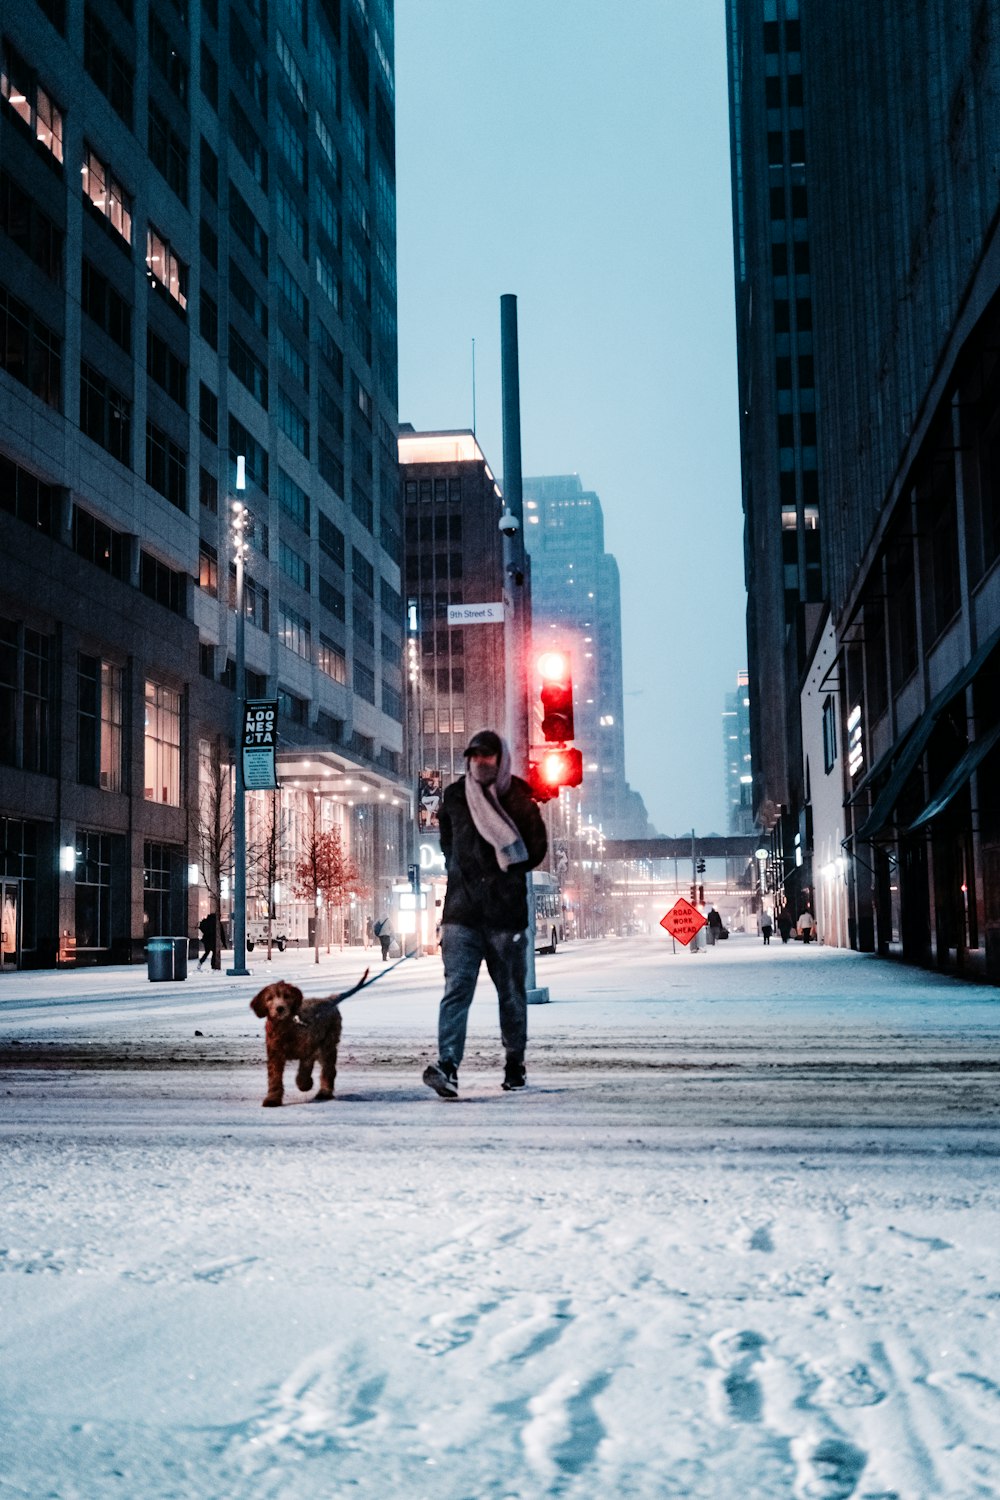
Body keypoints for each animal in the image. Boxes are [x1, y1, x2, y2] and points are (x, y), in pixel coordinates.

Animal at [250, 972, 371, 1104]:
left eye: (286, 996)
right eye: (269, 999)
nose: (280, 1008)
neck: (286, 1028)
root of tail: (328, 1000)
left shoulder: (308, 1049)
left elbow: (304, 1069)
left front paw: (304, 1084)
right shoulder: (275, 1055)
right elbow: (274, 1078)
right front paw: (272, 1099)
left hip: (328, 1045)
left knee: (328, 1070)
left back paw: (324, 1092)